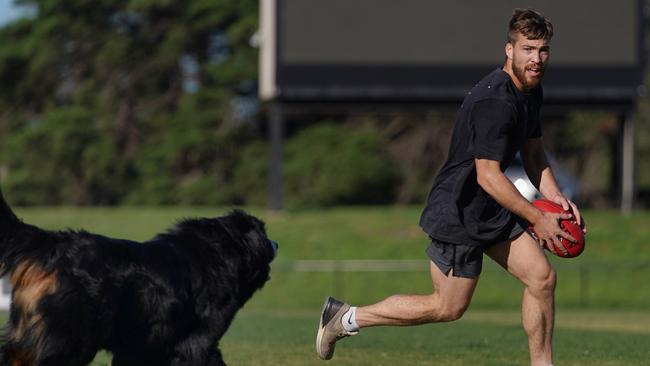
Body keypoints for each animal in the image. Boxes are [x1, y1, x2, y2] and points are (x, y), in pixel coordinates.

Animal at [0, 187, 276, 364]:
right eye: (264, 232)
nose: (275, 243)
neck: (220, 249)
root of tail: (55, 244)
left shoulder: (141, 347)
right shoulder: (198, 340)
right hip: (68, 340)